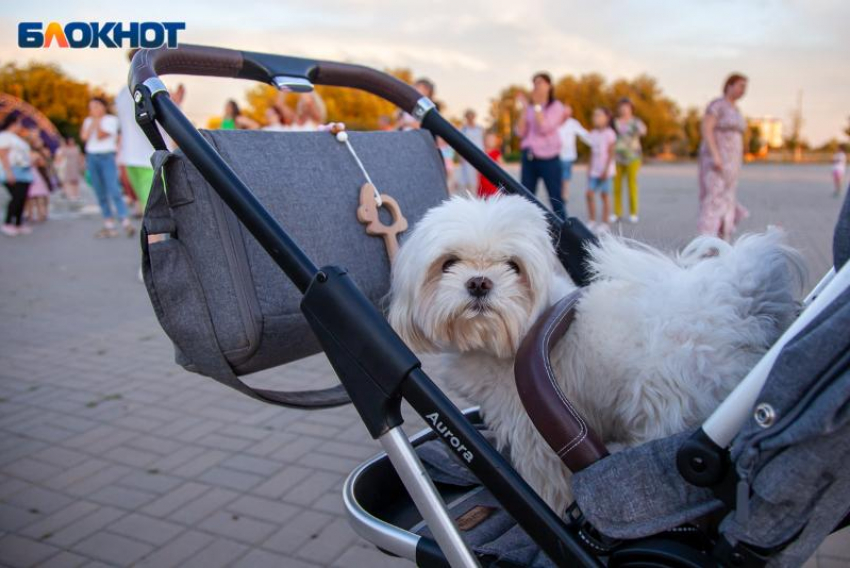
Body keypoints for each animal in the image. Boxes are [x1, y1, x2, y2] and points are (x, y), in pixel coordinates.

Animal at [390, 193, 800, 512]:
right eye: (448, 263)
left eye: (513, 266)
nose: (479, 283)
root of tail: (739, 304)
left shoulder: (537, 440)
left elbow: (548, 491)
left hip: (667, 411)